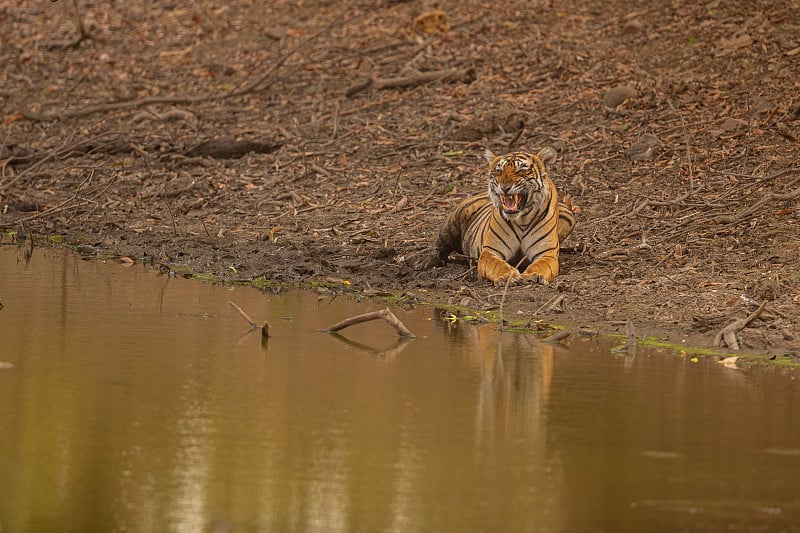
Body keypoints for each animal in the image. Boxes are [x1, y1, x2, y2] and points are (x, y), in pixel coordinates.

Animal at [424, 148, 576, 284]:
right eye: (499, 171)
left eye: (521, 170)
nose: (505, 187)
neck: (522, 219)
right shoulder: (490, 251)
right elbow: (498, 265)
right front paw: (508, 276)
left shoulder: (546, 253)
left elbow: (541, 265)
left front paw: (533, 275)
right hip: (453, 221)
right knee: (439, 244)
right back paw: (427, 263)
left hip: (568, 214)